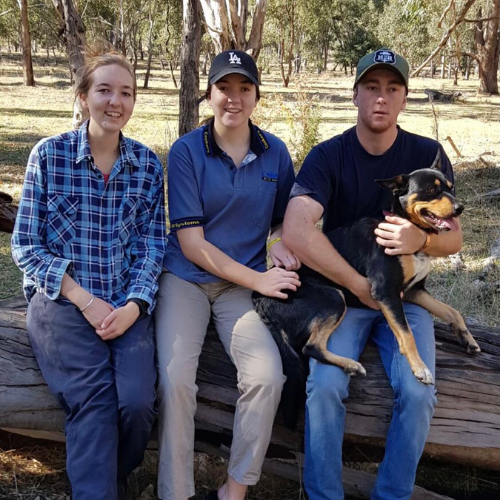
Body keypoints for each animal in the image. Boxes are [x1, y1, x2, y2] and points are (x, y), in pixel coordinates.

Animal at [254, 151, 480, 426]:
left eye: (450, 188)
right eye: (430, 191)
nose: (460, 209)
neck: (407, 229)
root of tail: (260, 298)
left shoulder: (414, 291)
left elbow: (451, 311)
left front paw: (467, 338)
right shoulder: (386, 292)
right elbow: (407, 333)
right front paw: (419, 367)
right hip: (334, 297)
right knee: (311, 346)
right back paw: (350, 364)